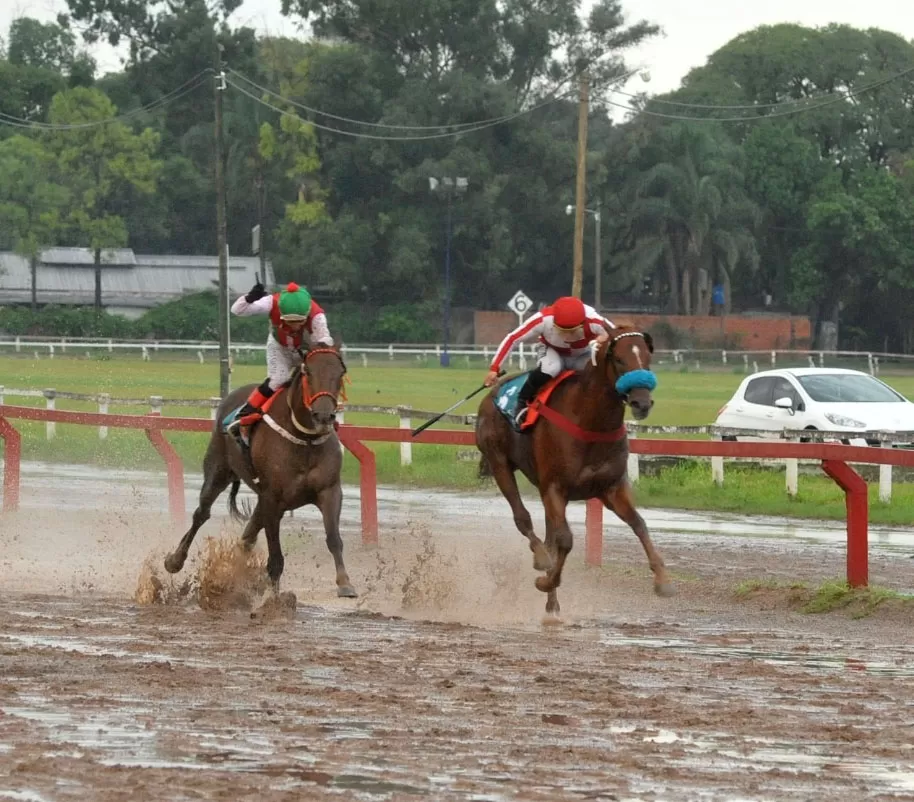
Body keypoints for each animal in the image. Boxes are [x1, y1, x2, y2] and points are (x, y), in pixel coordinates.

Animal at [161, 342, 352, 592]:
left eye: (340, 373)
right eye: (307, 372)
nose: (323, 415)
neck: (305, 439)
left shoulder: (329, 490)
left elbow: (334, 539)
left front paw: (345, 582)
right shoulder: (272, 498)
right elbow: (276, 557)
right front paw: (272, 596)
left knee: (248, 536)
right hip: (218, 469)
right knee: (202, 513)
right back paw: (175, 560)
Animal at [474, 324, 672, 612]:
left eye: (647, 357)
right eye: (619, 359)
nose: (641, 402)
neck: (591, 422)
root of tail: (493, 393)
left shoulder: (610, 488)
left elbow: (639, 524)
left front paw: (663, 580)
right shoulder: (555, 488)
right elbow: (565, 540)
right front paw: (546, 581)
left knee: (548, 535)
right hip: (499, 463)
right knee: (523, 519)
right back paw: (541, 559)